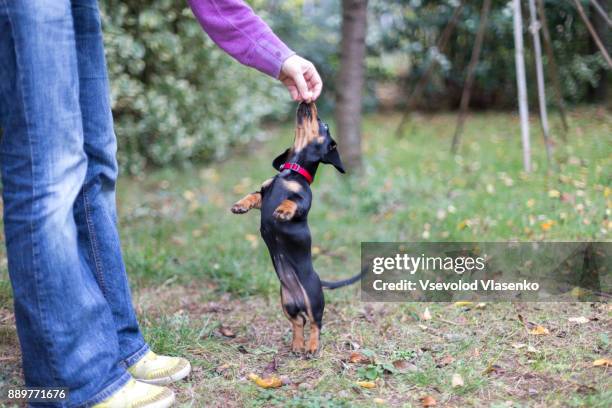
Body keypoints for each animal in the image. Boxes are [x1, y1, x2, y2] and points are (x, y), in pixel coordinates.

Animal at [232, 102, 360, 354]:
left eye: (324, 124)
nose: (307, 102)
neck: (290, 172)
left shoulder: (303, 202)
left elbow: (293, 202)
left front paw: (282, 210)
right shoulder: (263, 193)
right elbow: (253, 196)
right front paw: (240, 205)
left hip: (313, 299)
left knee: (316, 322)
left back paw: (312, 346)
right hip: (286, 303)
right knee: (298, 322)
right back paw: (297, 344)